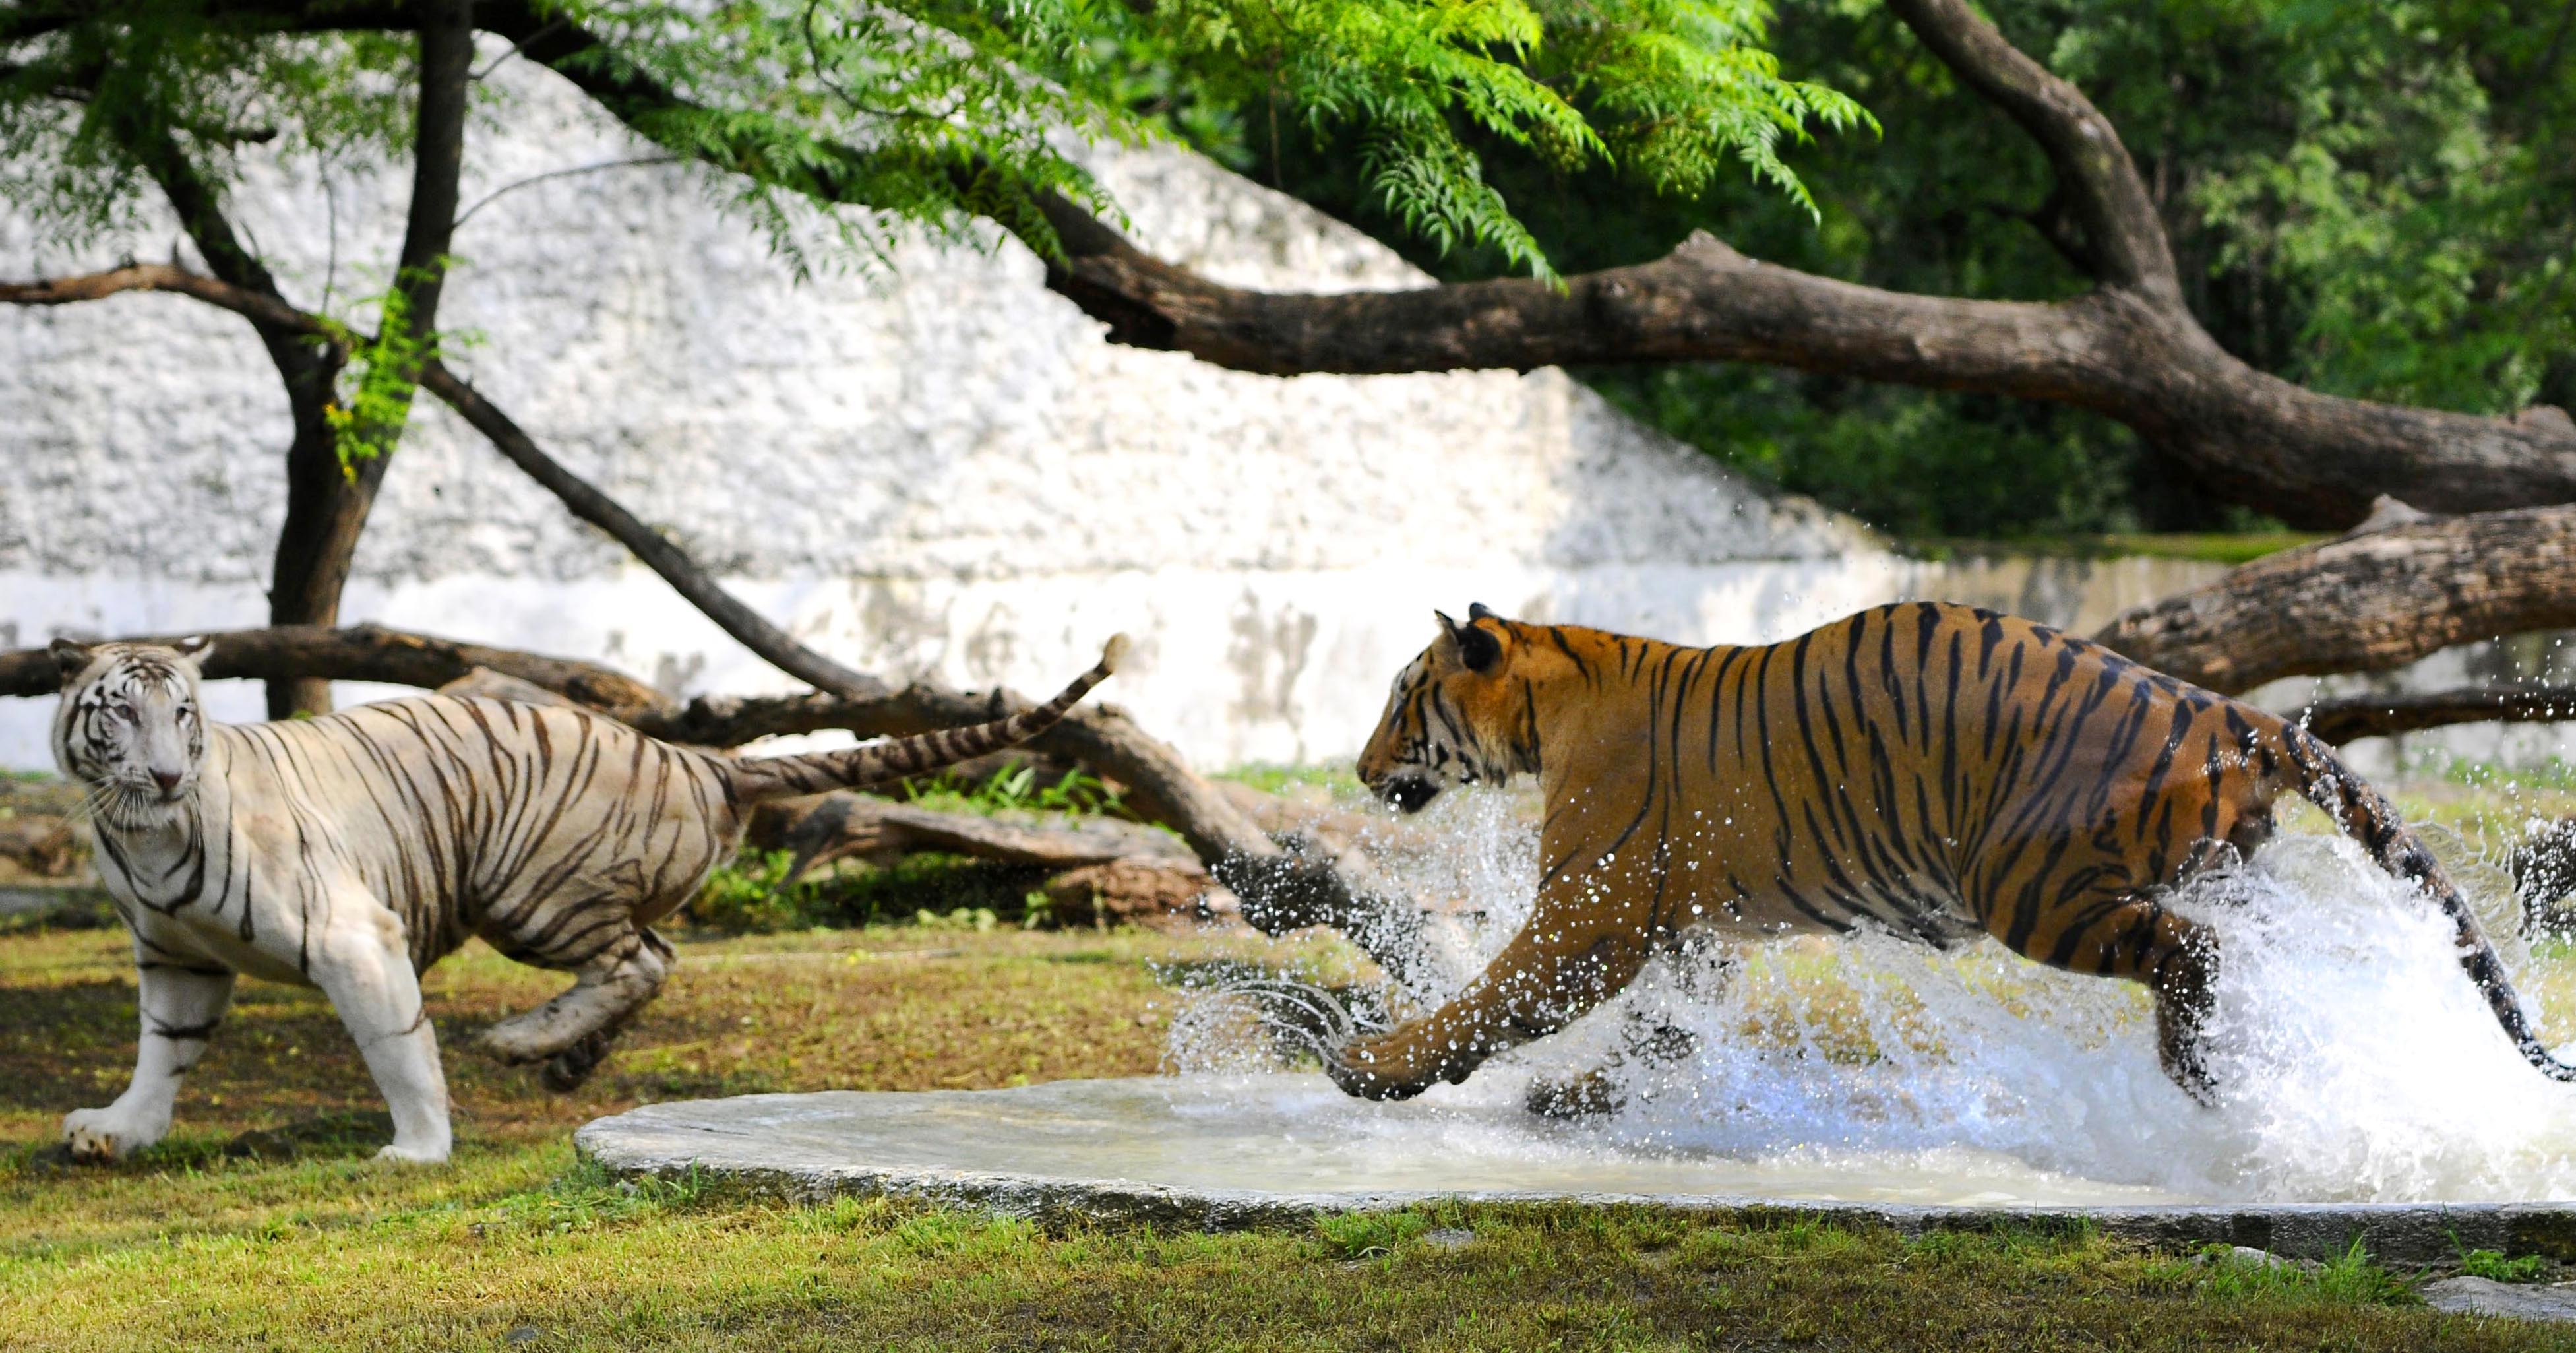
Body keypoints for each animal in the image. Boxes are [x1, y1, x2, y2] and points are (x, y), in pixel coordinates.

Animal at [48, 633, 1126, 1164]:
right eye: (123, 713)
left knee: (638, 958)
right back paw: (568, 1056)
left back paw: (525, 1041)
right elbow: (163, 1051)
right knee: (655, 959)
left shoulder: (355, 933)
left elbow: (399, 1049)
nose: (167, 774)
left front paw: (419, 1150)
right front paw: (121, 1130)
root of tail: (698, 757)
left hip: (528, 888)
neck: (143, 834)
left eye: (183, 711)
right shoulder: (175, 954)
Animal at [1328, 601, 2576, 1111]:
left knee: (2190, 953)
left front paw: (1374, 1065)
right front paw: (1582, 1097)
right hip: (2216, 865)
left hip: (2028, 882)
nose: (1354, 765)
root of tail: (2227, 707)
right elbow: (1664, 1028)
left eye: (1400, 698)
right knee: (2251, 957)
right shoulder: (1683, 929)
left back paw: (2195, 1075)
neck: (1552, 699)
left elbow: (1495, 998)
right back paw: (2250, 1072)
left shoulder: (1592, 910)